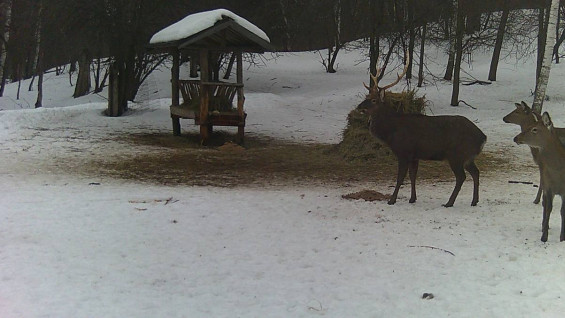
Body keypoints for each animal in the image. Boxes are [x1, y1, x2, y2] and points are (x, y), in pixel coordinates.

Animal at [360, 53, 486, 207]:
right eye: (366, 96)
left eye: (373, 100)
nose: (360, 107)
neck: (391, 133)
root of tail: (483, 137)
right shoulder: (415, 156)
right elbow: (413, 176)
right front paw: (412, 198)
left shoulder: (404, 152)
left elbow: (400, 178)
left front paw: (392, 200)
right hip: (468, 157)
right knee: (476, 172)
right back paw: (474, 200)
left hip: (456, 155)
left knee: (461, 177)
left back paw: (449, 202)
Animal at [512, 113, 564, 242]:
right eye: (530, 125)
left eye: (534, 129)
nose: (516, 138)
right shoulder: (548, 187)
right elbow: (549, 208)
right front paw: (544, 237)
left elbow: (562, 211)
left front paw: (562, 238)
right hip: (544, 183)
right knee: (545, 204)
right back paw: (544, 225)